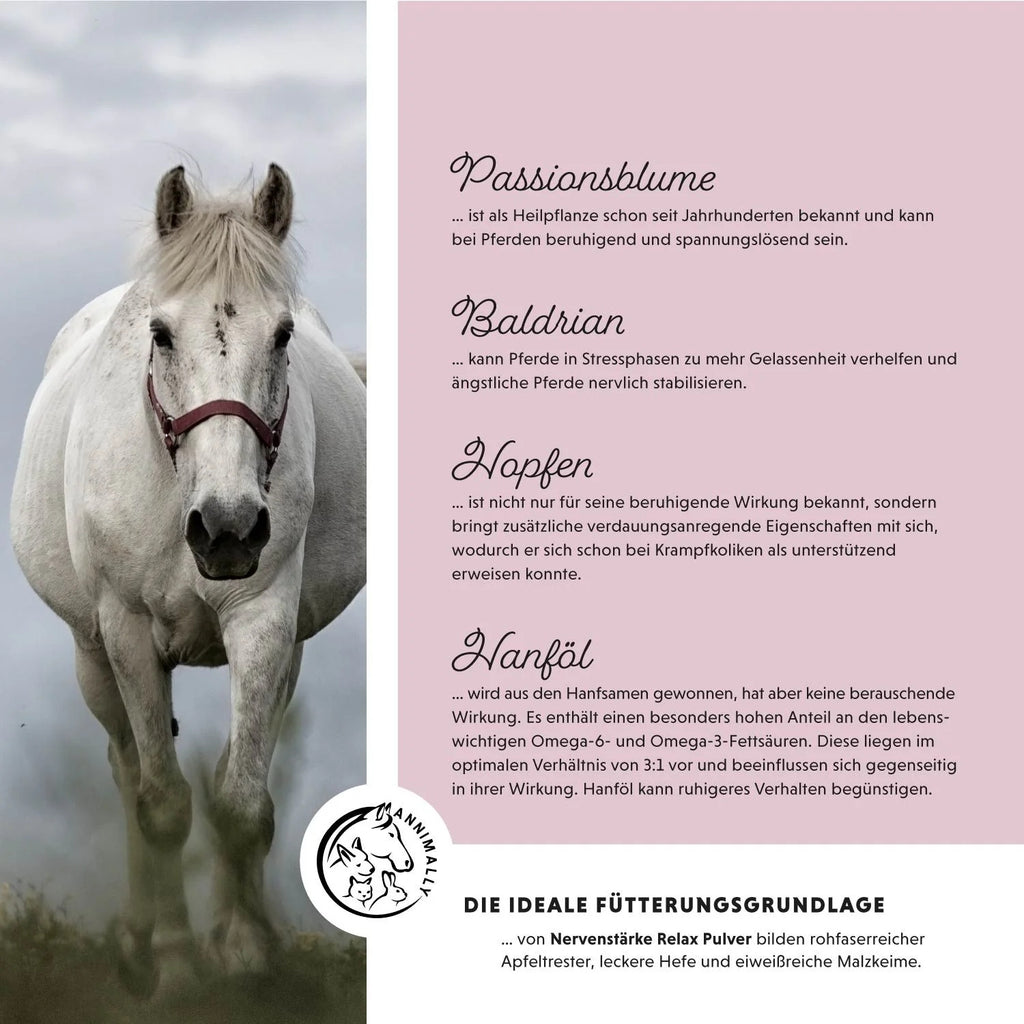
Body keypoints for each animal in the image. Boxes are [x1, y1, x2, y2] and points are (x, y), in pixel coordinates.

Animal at [10, 165, 365, 996]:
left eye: (284, 334)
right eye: (162, 333)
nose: (228, 529)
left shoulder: (265, 623)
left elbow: (242, 801)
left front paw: (245, 957)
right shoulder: (127, 632)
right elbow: (163, 804)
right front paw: (172, 964)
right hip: (91, 655)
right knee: (127, 772)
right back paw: (138, 937)